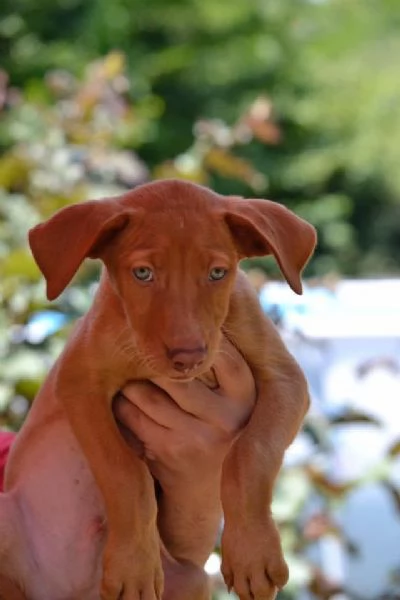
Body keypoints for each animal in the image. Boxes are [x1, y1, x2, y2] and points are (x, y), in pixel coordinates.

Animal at [0, 179, 316, 600]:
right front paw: (133, 566)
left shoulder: (286, 379)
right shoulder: (80, 382)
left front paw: (253, 552)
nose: (189, 357)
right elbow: (125, 473)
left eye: (218, 273)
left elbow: (250, 454)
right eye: (143, 273)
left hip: (193, 578)